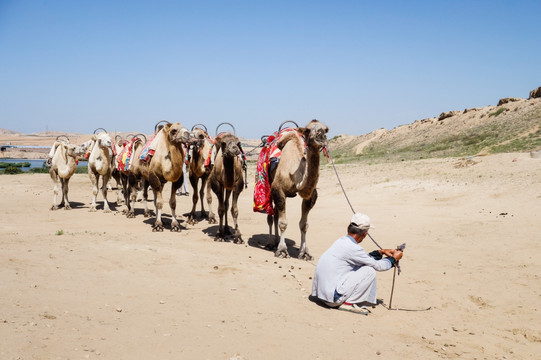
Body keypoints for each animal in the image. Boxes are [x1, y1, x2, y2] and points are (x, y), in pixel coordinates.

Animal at [266, 119, 330, 260]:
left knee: (275, 213)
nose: (320, 135)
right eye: (307, 130)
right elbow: (283, 223)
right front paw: (282, 250)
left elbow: (304, 225)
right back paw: (271, 243)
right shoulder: (277, 189)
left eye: (325, 129)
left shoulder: (311, 196)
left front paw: (304, 252)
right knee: (271, 216)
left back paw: (276, 241)